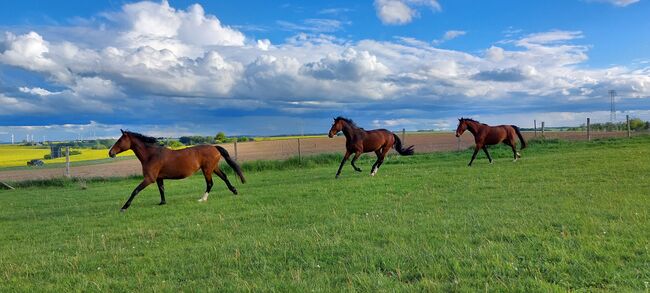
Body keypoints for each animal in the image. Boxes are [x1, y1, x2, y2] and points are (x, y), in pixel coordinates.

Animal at [109, 129, 246, 210]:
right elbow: (161, 190)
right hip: (213, 168)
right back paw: (234, 191)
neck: (151, 155)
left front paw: (124, 207)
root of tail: (215, 147)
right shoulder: (159, 178)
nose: (110, 153)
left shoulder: (149, 179)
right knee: (224, 177)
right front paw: (162, 203)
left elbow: (135, 191)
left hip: (207, 170)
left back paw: (203, 199)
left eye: (120, 140)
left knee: (210, 183)